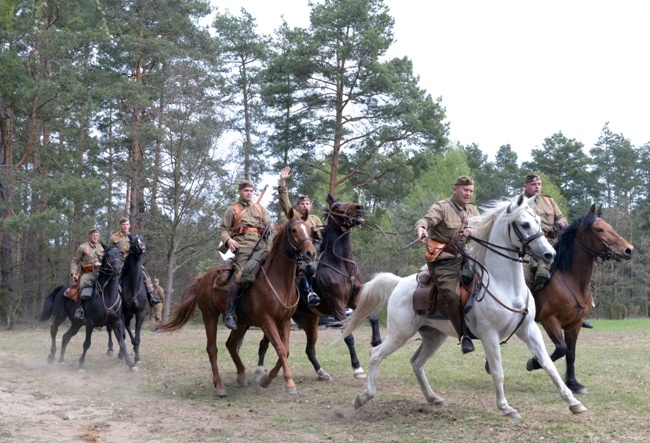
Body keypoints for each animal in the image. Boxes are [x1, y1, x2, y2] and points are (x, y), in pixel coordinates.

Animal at [106, 232, 147, 364]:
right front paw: (121, 355)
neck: (133, 288)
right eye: (132, 241)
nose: (142, 247)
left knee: (128, 326)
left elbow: (137, 337)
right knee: (110, 329)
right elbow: (122, 336)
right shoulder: (122, 313)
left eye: (142, 239)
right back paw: (110, 349)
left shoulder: (140, 313)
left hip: (130, 314)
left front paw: (137, 357)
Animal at [159, 210, 316, 398]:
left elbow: (286, 350)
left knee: (231, 345)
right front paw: (288, 383)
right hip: (210, 316)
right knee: (212, 349)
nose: (311, 253)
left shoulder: (284, 322)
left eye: (309, 229)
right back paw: (219, 386)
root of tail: (203, 278)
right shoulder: (267, 322)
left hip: (241, 323)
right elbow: (280, 348)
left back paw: (241, 375)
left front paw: (267, 379)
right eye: (294, 230)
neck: (278, 281)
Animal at [252, 194, 380, 382]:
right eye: (337, 206)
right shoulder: (337, 307)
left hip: (309, 322)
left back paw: (321, 372)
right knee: (264, 344)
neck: (341, 265)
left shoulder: (356, 299)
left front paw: (377, 343)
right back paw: (259, 372)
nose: (359, 208)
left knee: (308, 350)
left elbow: (374, 317)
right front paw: (357, 368)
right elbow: (348, 336)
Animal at [340, 195, 588, 420]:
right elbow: (498, 371)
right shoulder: (490, 335)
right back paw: (363, 397)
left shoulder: (530, 330)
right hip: (400, 333)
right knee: (375, 354)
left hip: (433, 336)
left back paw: (433, 398)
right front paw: (506, 407)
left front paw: (574, 403)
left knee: (416, 362)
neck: (505, 284)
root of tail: (399, 282)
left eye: (538, 221)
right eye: (525, 224)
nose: (549, 254)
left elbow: (549, 365)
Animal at [524, 203, 632, 394]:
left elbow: (570, 353)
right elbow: (561, 349)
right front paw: (533, 362)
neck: (572, 280)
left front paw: (573, 383)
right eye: (599, 229)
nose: (628, 250)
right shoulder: (549, 320)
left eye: (610, 226)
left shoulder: (574, 324)